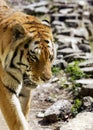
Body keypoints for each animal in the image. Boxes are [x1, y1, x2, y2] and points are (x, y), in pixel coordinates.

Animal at [0, 0, 54, 130]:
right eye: (34, 57)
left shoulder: (25, 92)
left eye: (50, 57)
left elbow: (23, 114)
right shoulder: (5, 89)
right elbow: (17, 120)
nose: (47, 79)